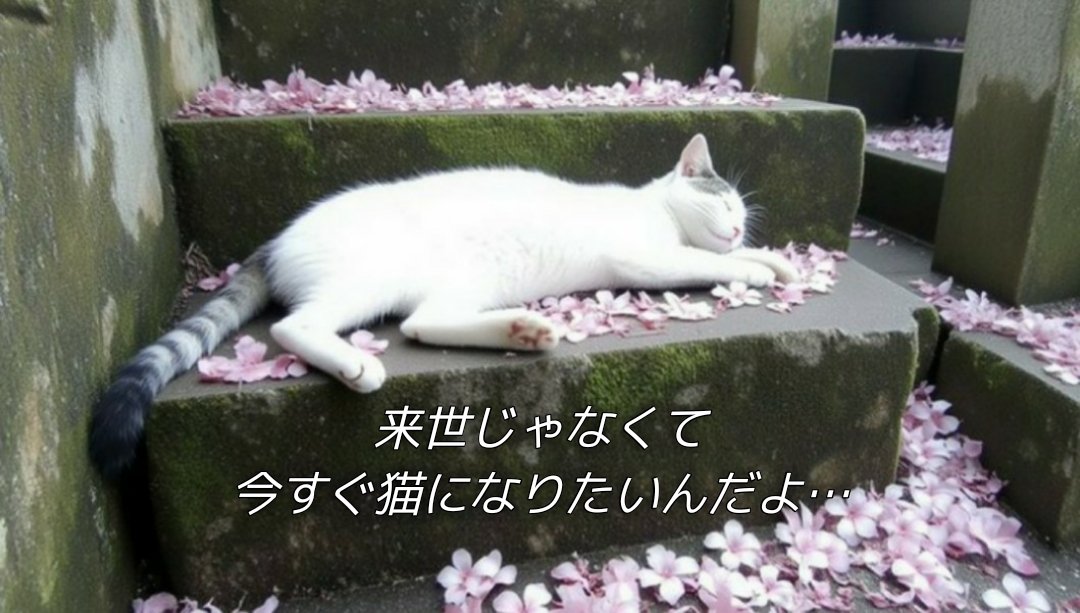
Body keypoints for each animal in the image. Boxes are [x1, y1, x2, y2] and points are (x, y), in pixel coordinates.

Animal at [90, 133, 799, 477]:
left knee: (422, 324)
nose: (741, 225)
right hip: (365, 279)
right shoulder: (646, 258)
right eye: (723, 201)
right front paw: (757, 266)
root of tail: (274, 242)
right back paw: (356, 365)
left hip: (468, 284)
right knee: (299, 326)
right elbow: (707, 263)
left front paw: (772, 258)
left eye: (740, 211)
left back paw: (523, 331)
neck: (657, 211)